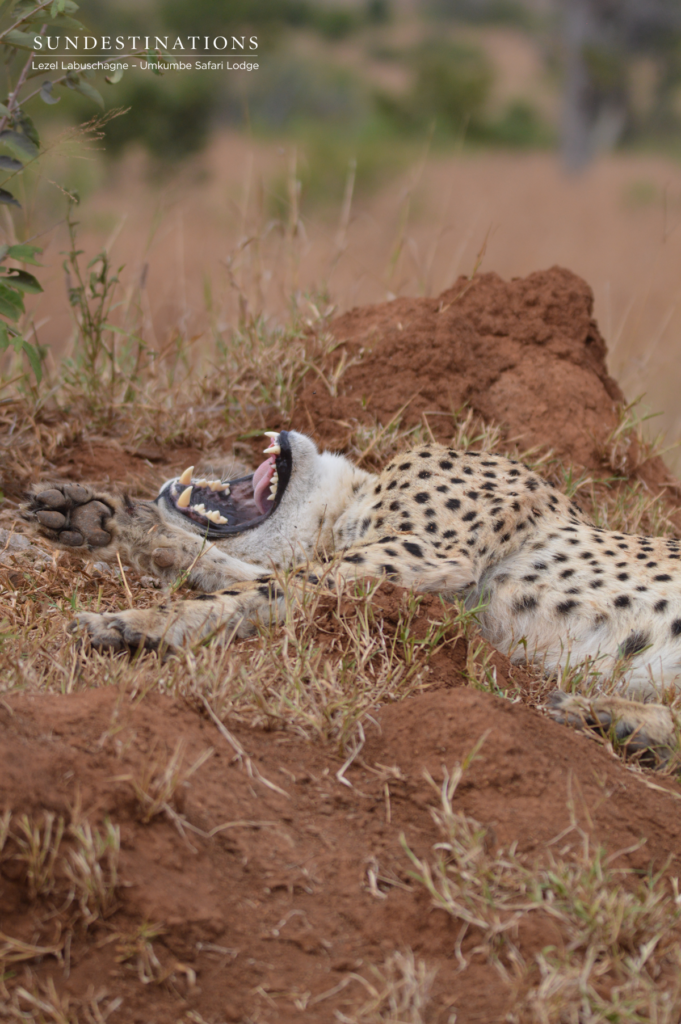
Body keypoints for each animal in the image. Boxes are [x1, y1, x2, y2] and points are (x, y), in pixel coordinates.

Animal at [23, 428, 681, 762]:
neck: (348, 503)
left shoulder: (427, 555)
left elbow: (264, 582)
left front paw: (138, 621)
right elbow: (244, 576)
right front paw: (105, 519)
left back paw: (617, 721)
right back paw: (615, 722)